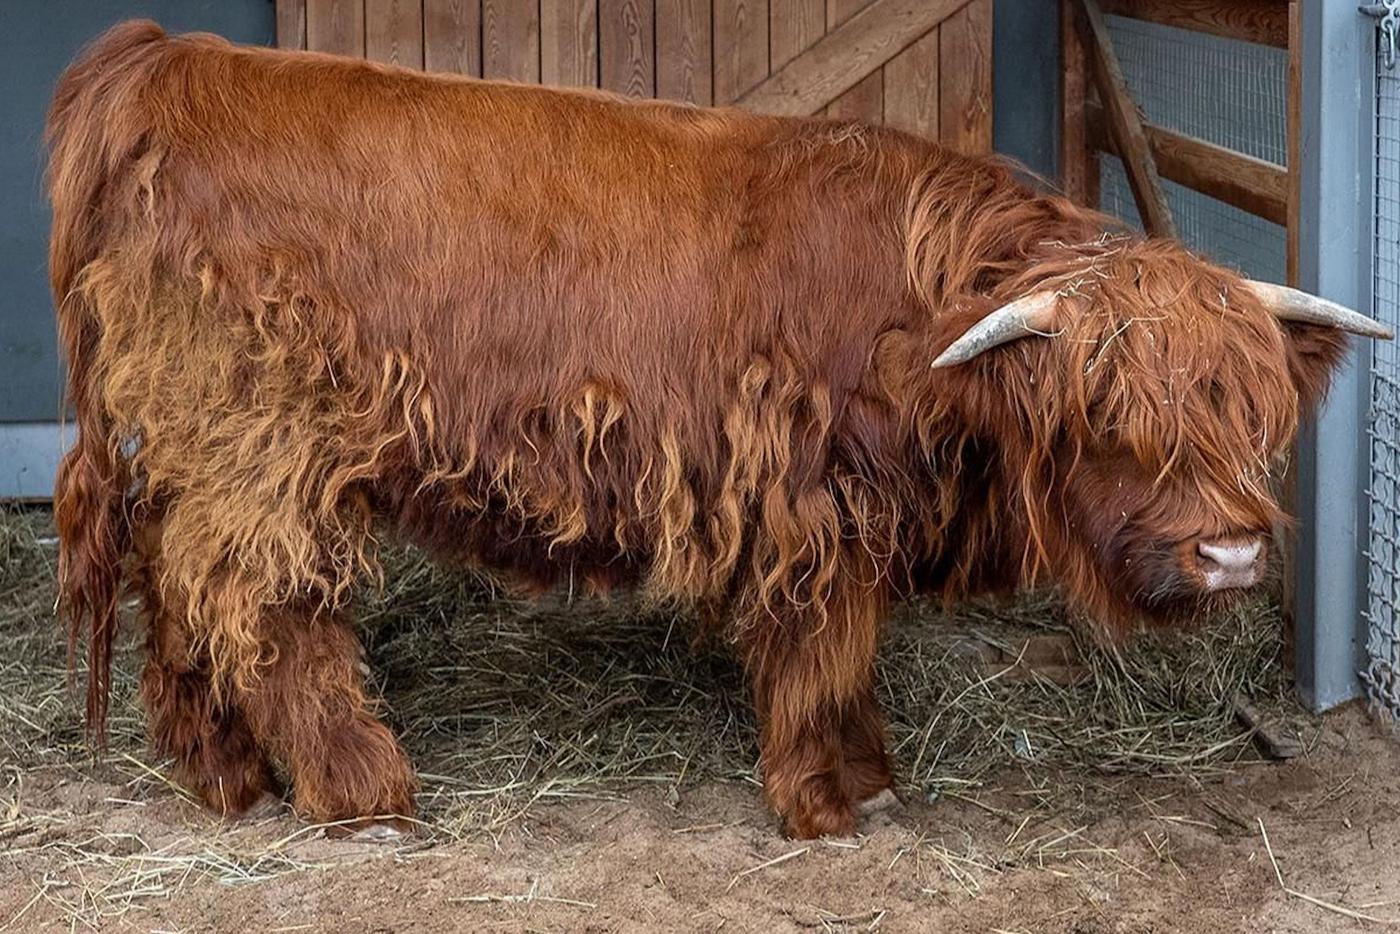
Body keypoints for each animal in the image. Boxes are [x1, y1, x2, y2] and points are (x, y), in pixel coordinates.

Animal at [47, 20, 1391, 840]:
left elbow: (844, 658)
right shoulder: (808, 507)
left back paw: (220, 774)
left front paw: (866, 774)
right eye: (1105, 414)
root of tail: (172, 61)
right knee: (258, 602)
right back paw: (359, 787)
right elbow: (821, 652)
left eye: (1249, 412)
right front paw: (828, 799)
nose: (1231, 553)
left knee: (178, 587)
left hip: (198, 449)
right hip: (264, 448)